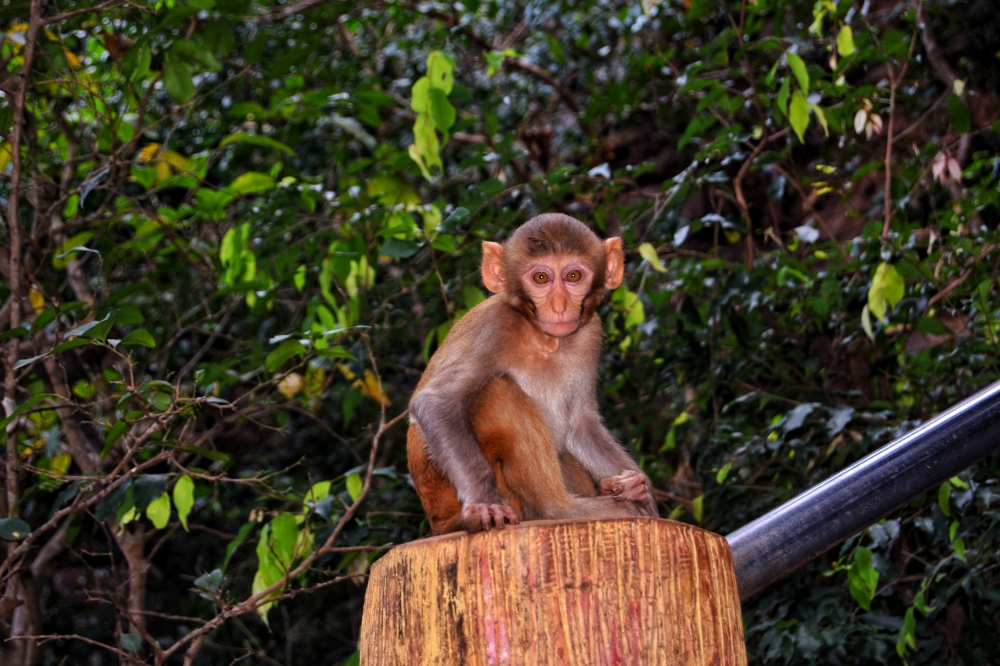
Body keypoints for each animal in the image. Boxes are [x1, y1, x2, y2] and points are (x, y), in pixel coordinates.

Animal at [407, 213, 657, 535]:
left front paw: (641, 487)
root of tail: (437, 522)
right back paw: (559, 509)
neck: (544, 338)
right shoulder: (496, 327)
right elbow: (435, 403)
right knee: (498, 391)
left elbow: (578, 424)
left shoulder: (590, 334)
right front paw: (484, 500)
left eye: (573, 276)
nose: (560, 306)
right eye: (541, 278)